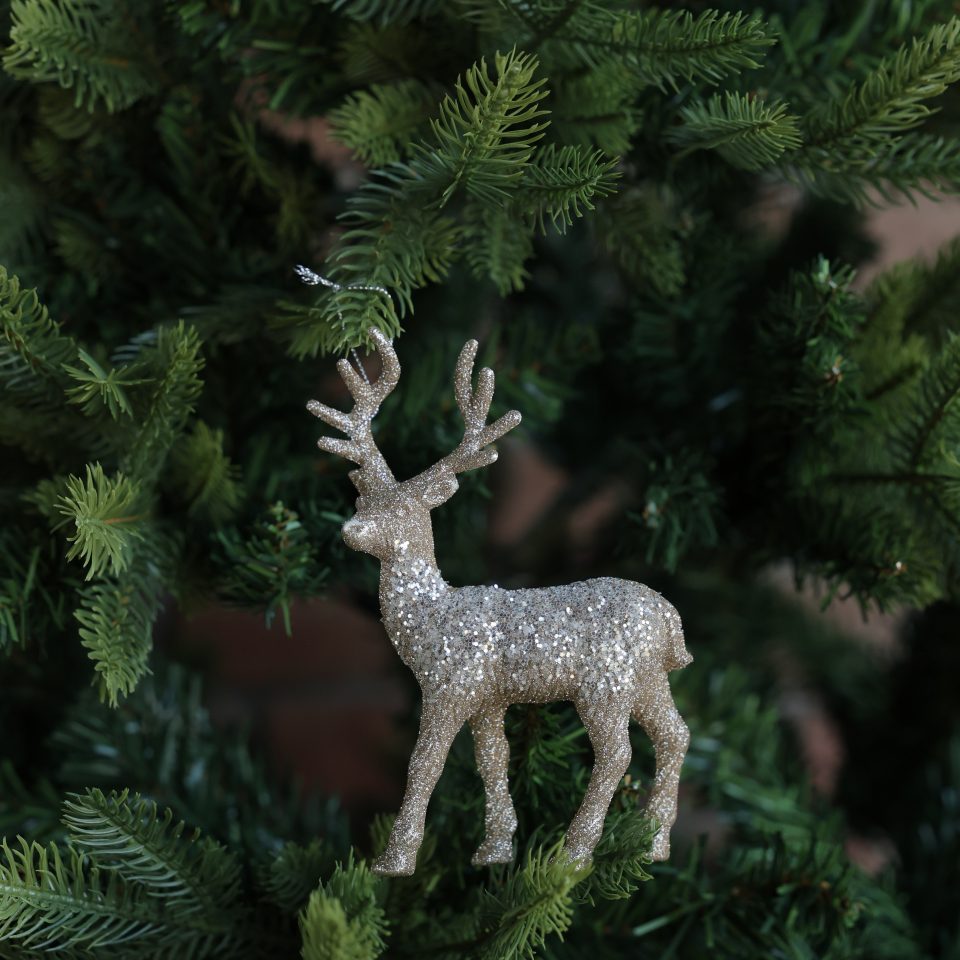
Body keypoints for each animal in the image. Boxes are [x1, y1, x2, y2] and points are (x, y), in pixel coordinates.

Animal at [307, 329, 692, 876]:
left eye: (404, 509)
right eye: (362, 501)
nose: (350, 529)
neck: (433, 615)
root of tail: (669, 617)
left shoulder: (452, 684)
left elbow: (425, 762)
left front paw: (395, 859)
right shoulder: (490, 698)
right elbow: (493, 758)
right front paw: (494, 849)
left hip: (606, 681)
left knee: (616, 753)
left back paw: (574, 853)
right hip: (648, 677)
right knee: (674, 735)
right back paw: (655, 843)